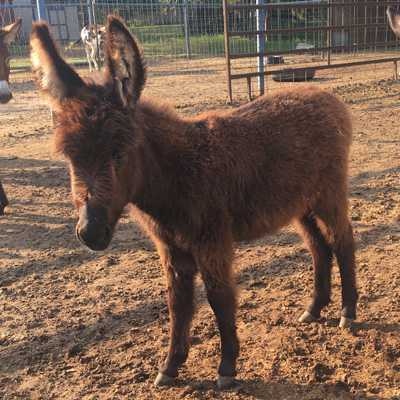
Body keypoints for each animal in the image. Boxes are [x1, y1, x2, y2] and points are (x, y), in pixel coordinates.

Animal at [29, 17, 358, 390]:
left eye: (119, 152)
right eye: (70, 158)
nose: (90, 233)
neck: (176, 174)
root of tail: (328, 98)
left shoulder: (212, 242)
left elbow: (219, 297)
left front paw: (227, 368)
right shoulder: (172, 249)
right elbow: (178, 305)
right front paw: (170, 367)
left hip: (328, 193)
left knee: (343, 241)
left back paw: (348, 313)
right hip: (300, 204)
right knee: (319, 248)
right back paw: (314, 309)